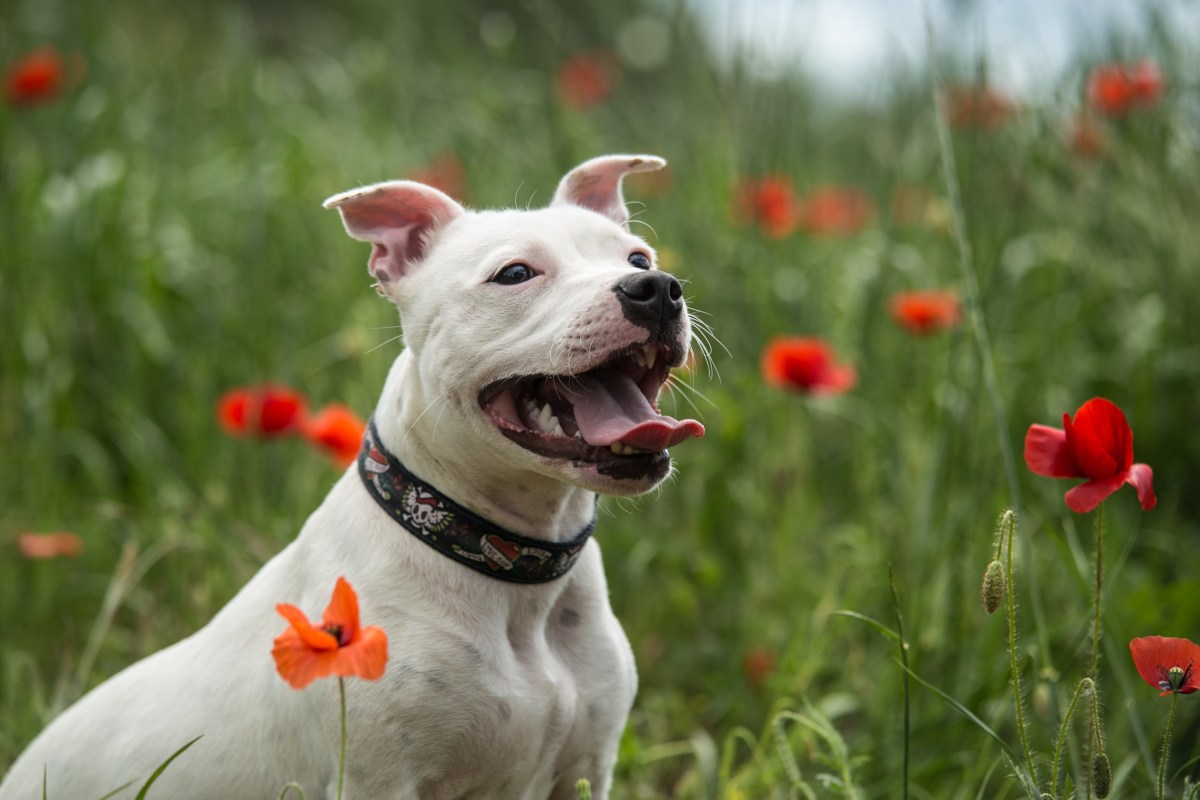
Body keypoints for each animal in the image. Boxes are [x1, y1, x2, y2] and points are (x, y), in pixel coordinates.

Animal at [2, 153, 700, 796]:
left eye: (638, 258)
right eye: (515, 273)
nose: (657, 289)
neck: (503, 561)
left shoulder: (585, 768)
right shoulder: (379, 779)